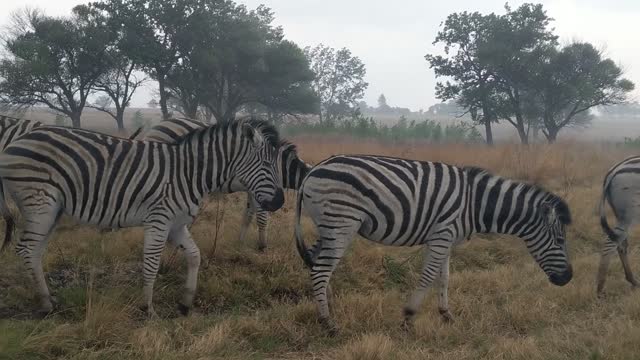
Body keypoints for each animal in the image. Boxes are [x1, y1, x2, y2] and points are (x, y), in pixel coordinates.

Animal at [134, 118, 312, 250]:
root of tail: (156, 127)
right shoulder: (260, 186)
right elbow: (262, 217)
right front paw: (262, 247)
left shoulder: (253, 188)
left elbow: (248, 215)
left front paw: (240, 243)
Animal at [296, 154, 576, 332]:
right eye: (560, 240)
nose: (568, 279)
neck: (474, 204)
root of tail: (312, 171)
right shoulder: (442, 234)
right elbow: (428, 277)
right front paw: (408, 318)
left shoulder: (446, 238)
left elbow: (444, 277)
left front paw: (446, 315)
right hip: (342, 223)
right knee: (321, 270)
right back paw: (328, 323)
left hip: (329, 226)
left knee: (314, 263)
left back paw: (328, 306)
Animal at [596, 155, 640, 296]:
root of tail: (613, 171)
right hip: (630, 214)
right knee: (610, 243)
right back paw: (600, 290)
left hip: (621, 215)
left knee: (621, 245)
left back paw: (633, 281)